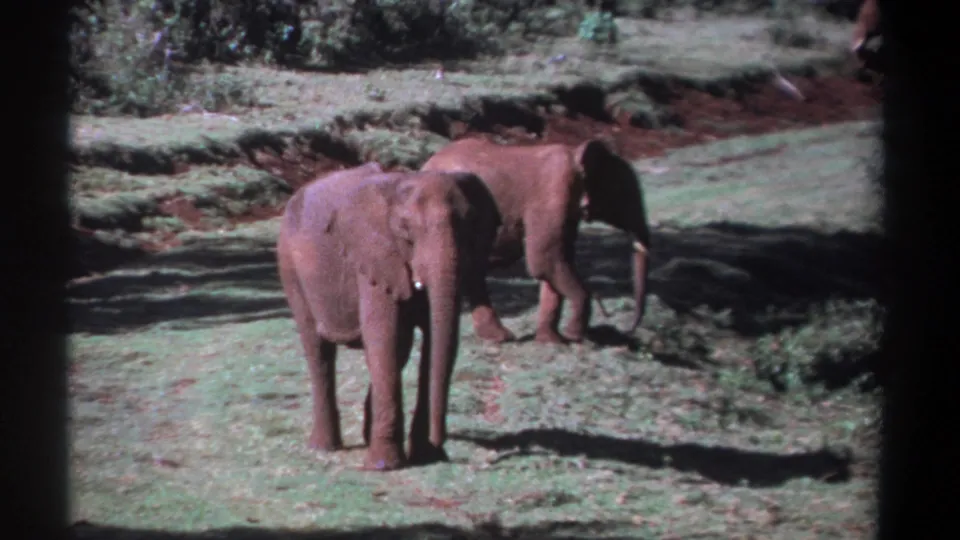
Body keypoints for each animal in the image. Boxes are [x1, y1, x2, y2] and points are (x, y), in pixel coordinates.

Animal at [276, 163, 501, 471]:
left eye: (470, 224)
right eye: (406, 230)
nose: (441, 443)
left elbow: (425, 342)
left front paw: (425, 456)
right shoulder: (375, 257)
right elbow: (386, 338)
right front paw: (384, 466)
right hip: (290, 266)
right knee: (318, 350)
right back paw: (324, 447)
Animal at [420, 137, 651, 345]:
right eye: (623, 193)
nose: (627, 330)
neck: (575, 154)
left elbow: (556, 263)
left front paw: (552, 341)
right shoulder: (553, 193)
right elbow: (546, 260)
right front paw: (574, 336)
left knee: (473, 273)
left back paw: (498, 337)